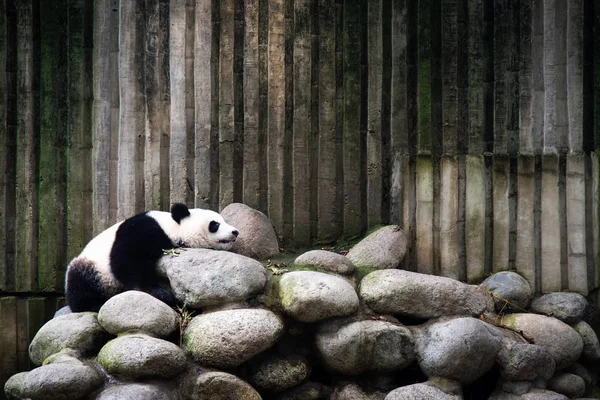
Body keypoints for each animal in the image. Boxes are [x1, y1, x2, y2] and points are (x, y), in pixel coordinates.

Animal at [63, 203, 237, 312]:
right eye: (215, 224)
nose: (235, 231)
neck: (172, 227)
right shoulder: (142, 230)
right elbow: (125, 262)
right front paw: (160, 293)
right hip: (91, 267)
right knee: (80, 284)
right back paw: (94, 305)